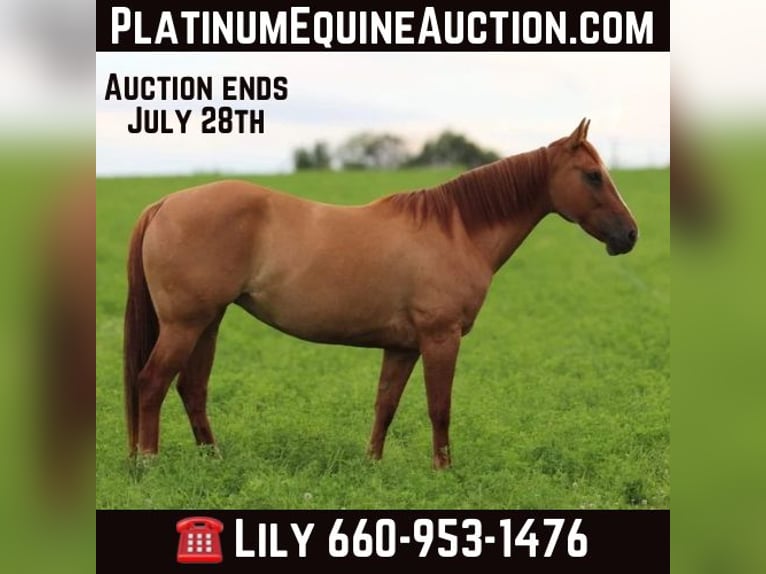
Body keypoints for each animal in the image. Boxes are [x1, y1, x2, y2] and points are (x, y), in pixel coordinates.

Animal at [123, 118, 637, 469]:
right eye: (593, 175)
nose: (629, 236)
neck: (456, 231)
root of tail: (165, 203)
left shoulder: (402, 347)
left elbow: (385, 406)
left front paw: (372, 465)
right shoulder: (440, 338)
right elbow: (439, 408)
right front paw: (443, 470)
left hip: (207, 323)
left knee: (191, 388)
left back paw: (212, 459)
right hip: (184, 325)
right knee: (152, 383)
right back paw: (149, 463)